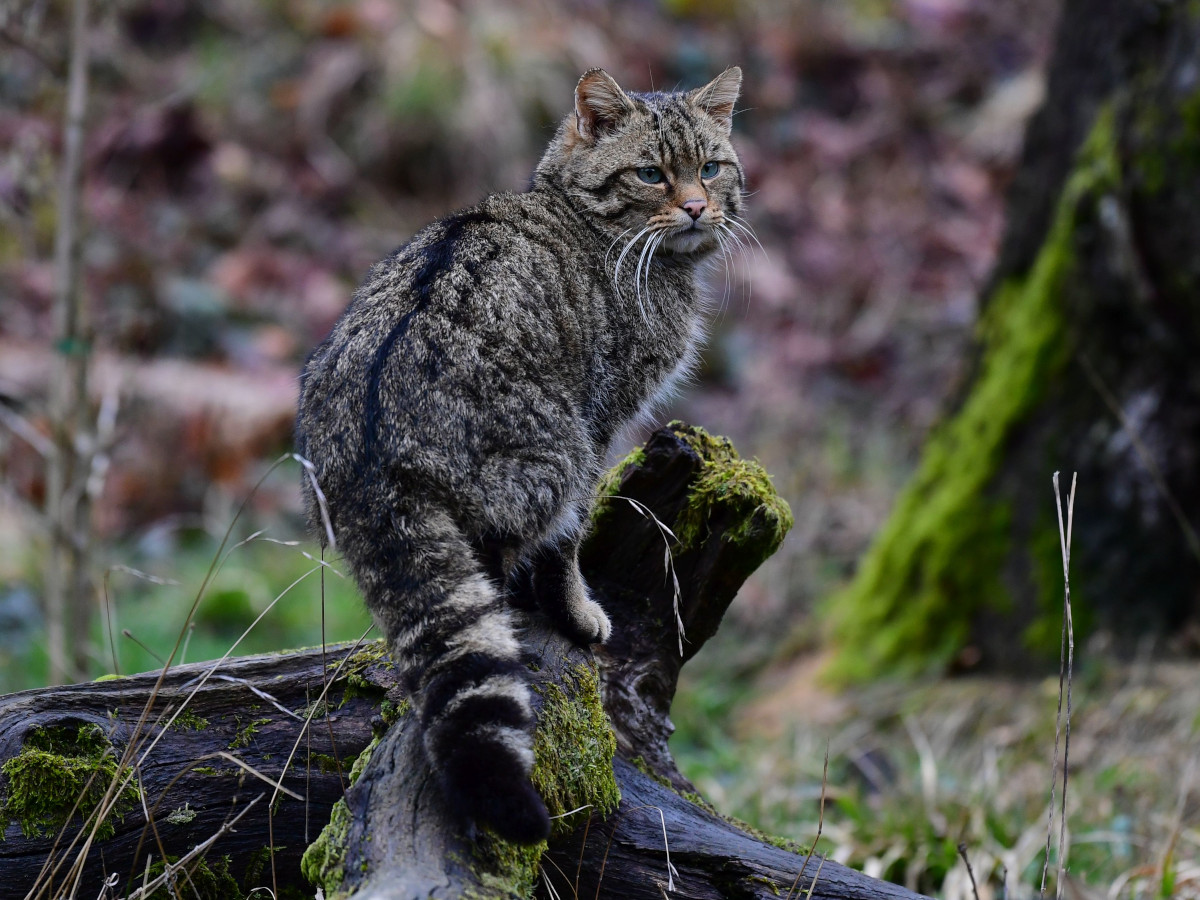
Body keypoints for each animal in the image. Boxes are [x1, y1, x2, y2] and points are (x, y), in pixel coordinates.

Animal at [294, 66, 739, 849]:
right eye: (651, 174)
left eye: (711, 168)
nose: (695, 207)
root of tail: (373, 447)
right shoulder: (602, 420)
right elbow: (567, 550)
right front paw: (580, 613)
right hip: (554, 456)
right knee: (500, 563)